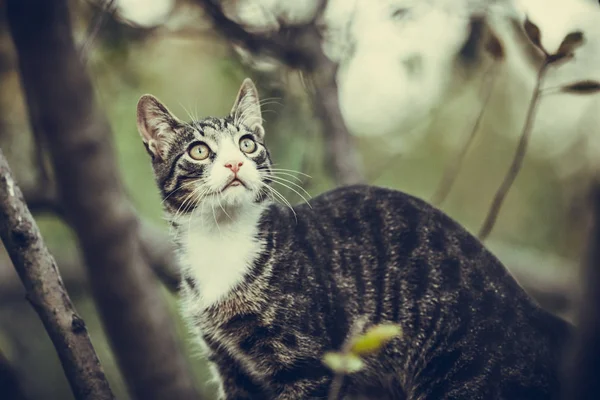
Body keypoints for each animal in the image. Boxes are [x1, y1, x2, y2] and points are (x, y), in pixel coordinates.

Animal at [137, 78, 572, 400]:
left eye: (248, 143)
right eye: (198, 151)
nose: (234, 163)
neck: (222, 241)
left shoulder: (306, 363)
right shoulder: (231, 367)